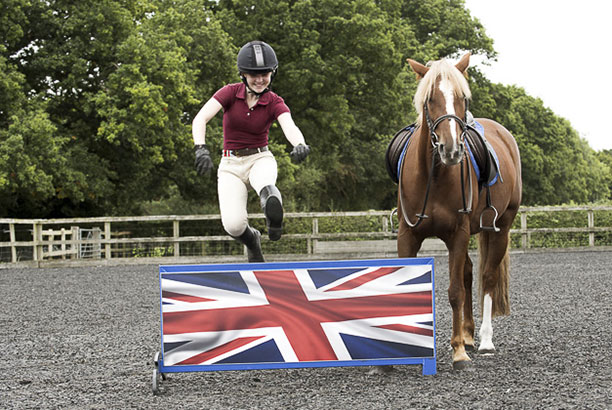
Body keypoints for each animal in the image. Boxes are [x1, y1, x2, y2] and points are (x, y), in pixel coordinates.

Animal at [396, 52, 520, 370]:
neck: (434, 175)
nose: (451, 149)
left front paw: (458, 353)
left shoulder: (458, 233)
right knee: (469, 273)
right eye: (430, 99)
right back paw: (468, 334)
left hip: (501, 227)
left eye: (462, 98)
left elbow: (455, 292)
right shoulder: (407, 236)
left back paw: (483, 340)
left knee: (486, 277)